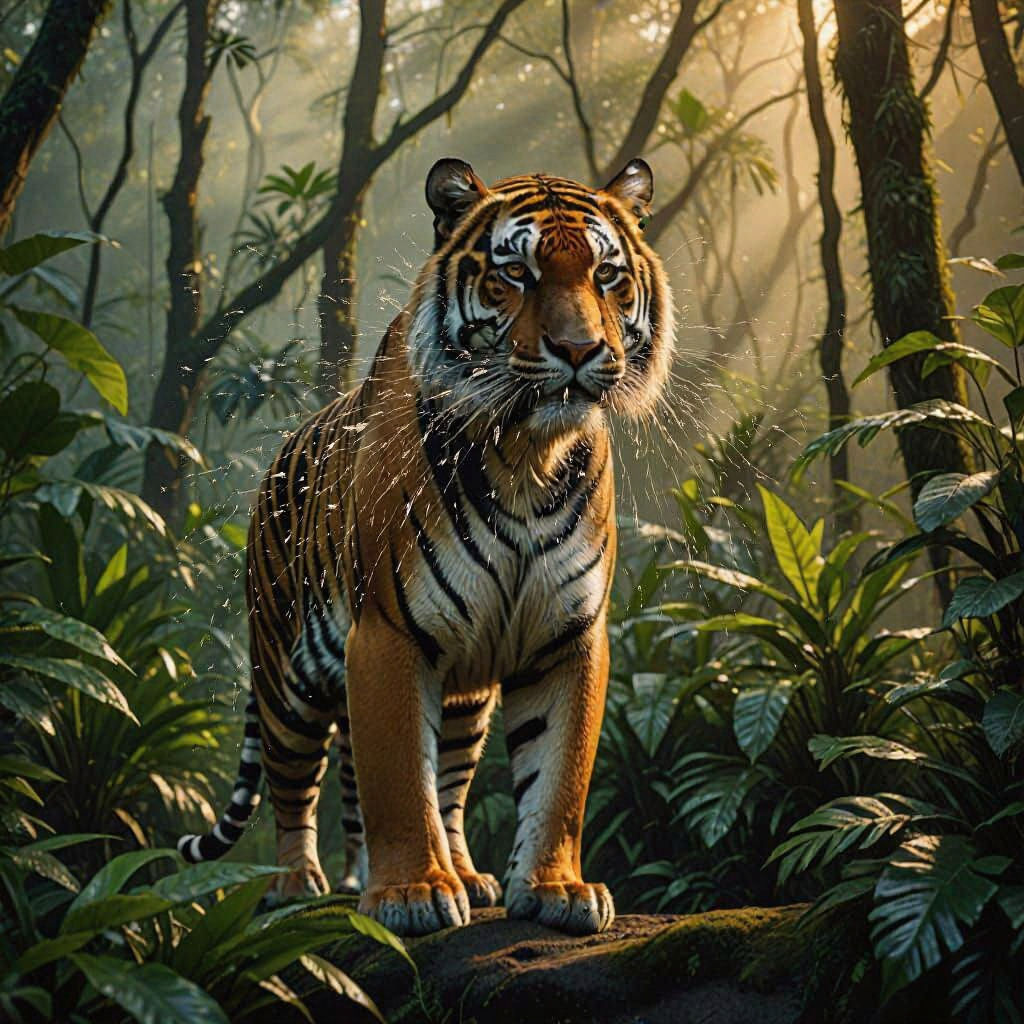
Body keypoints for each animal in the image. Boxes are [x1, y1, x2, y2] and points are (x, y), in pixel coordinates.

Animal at [178, 157, 673, 937]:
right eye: (517, 273)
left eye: (606, 276)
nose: (578, 350)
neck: (526, 453)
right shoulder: (387, 636)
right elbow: (400, 784)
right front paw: (410, 893)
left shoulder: (568, 637)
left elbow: (557, 777)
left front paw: (556, 889)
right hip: (286, 679)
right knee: (295, 789)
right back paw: (298, 885)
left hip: (464, 695)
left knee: (444, 787)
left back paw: (459, 875)